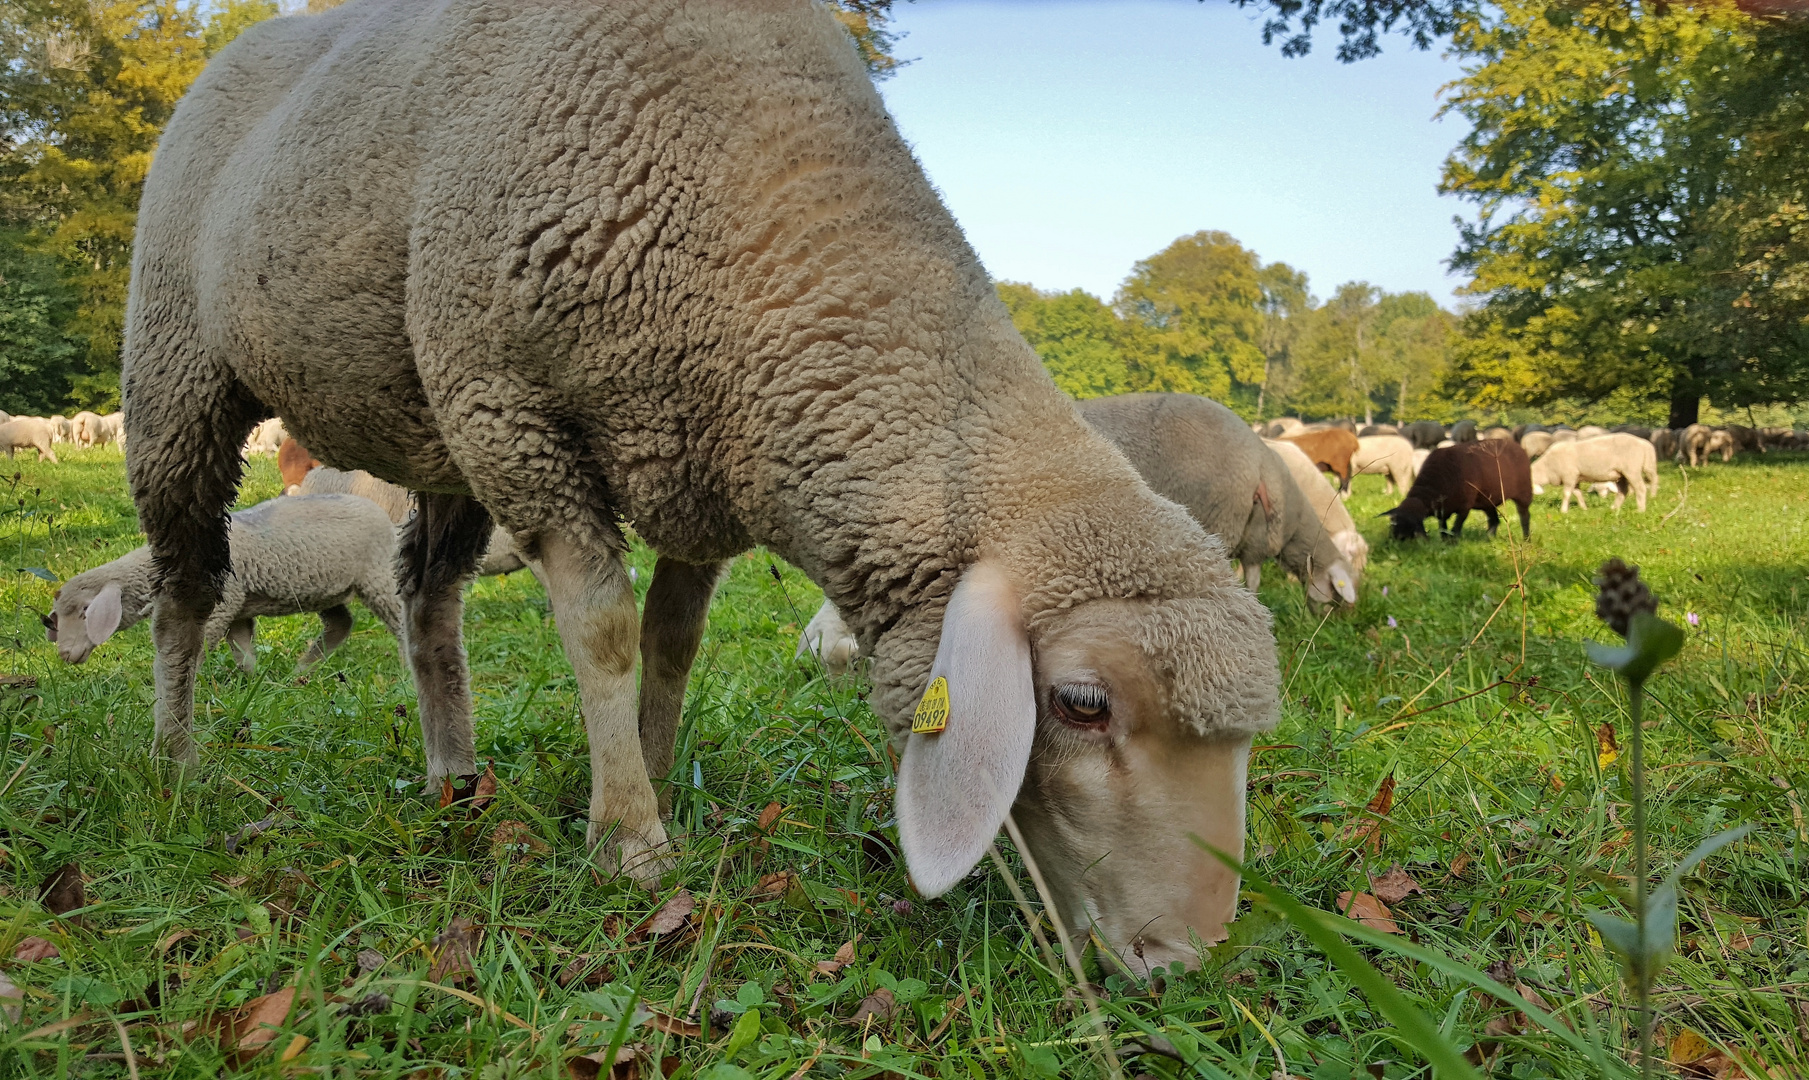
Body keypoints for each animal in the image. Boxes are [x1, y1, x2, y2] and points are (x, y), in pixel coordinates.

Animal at [44, 495, 405, 672]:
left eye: (86, 611)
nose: (64, 654)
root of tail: (386, 517)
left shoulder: (221, 604)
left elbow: (200, 647)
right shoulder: (238, 608)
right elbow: (243, 651)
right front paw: (250, 682)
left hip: (379, 576)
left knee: (400, 622)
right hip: (325, 589)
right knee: (341, 623)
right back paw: (302, 671)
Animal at [120, 0, 1280, 962]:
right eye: (1082, 705)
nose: (1186, 959)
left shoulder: (704, 464)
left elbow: (672, 643)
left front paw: (649, 769)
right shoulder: (515, 412)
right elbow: (603, 633)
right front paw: (631, 840)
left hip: (435, 417)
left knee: (426, 594)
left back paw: (453, 772)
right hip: (184, 369)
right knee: (186, 588)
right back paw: (174, 767)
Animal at [1374, 437, 1534, 539]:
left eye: (1408, 528)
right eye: (1392, 525)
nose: (1393, 544)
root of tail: (1516, 445)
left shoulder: (1464, 506)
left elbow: (1456, 528)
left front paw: (1453, 543)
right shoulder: (1442, 510)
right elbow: (1443, 528)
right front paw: (1445, 542)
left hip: (1524, 493)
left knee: (1524, 517)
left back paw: (1526, 539)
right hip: (1487, 500)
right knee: (1494, 520)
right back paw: (1489, 539)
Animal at [1526, 432, 1657, 510]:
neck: (1547, 467)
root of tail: (1644, 443)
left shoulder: (1569, 476)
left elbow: (1567, 493)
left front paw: (1563, 510)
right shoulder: (1575, 478)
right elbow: (1577, 493)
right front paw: (1584, 508)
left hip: (1631, 470)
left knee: (1641, 488)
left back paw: (1640, 510)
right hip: (1621, 474)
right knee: (1622, 492)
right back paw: (1614, 508)